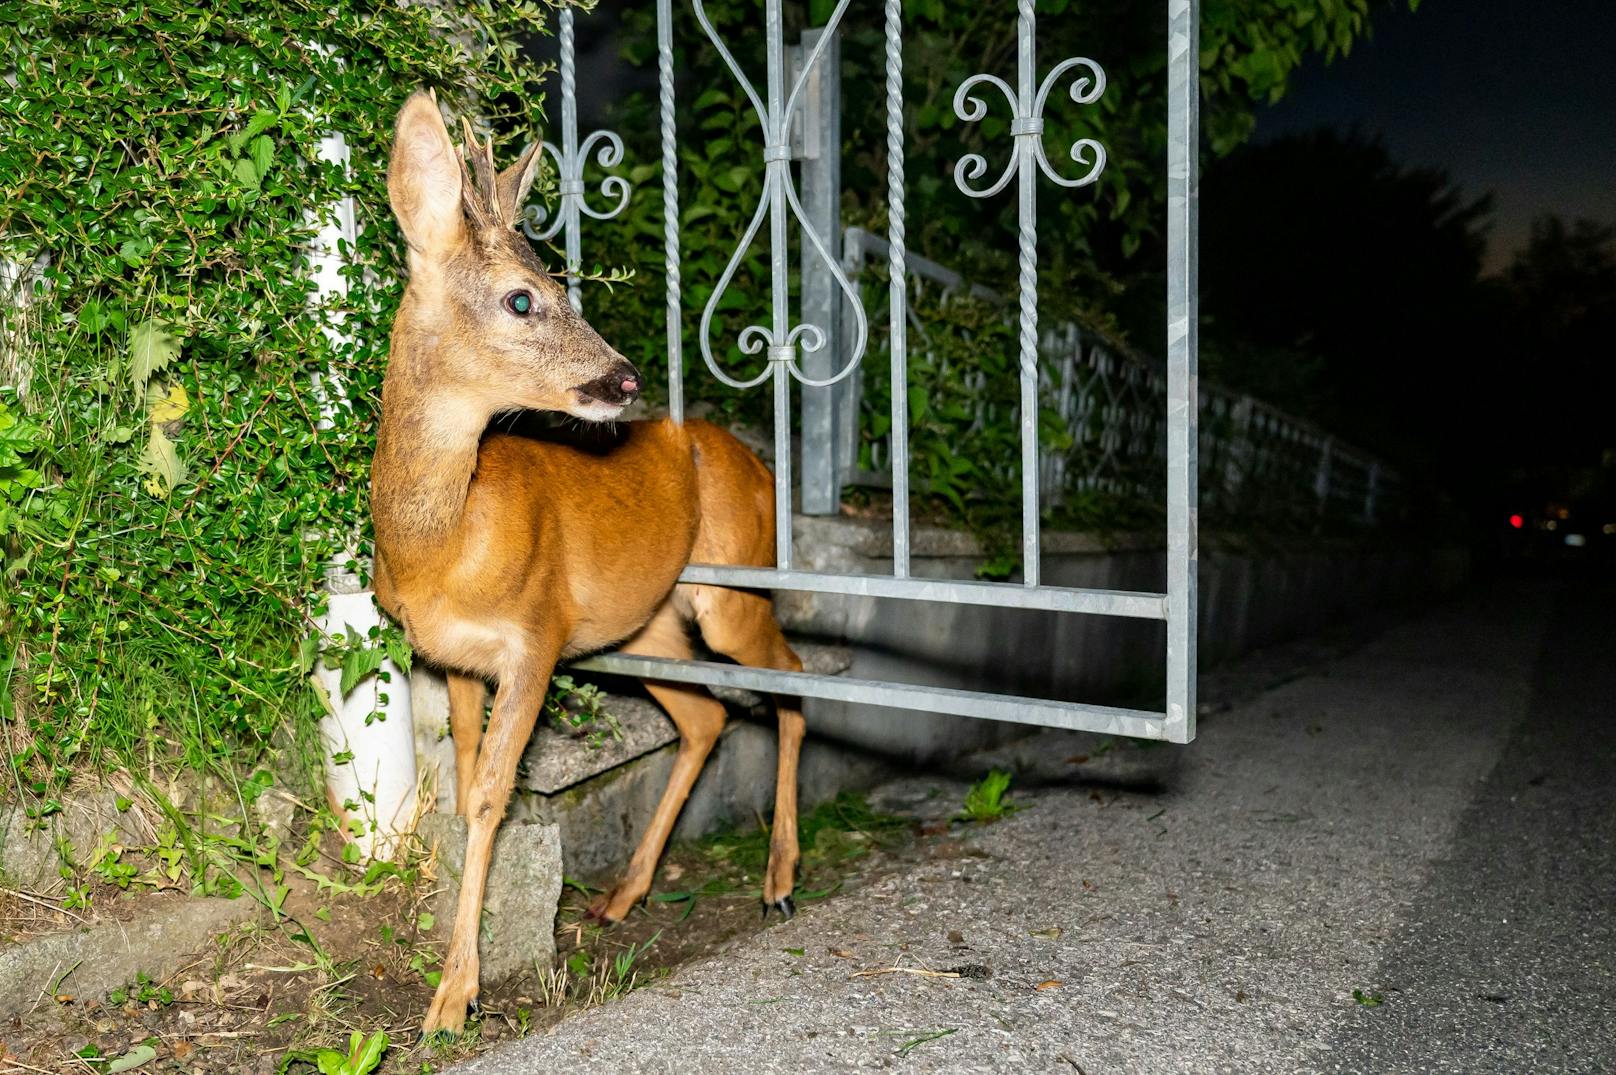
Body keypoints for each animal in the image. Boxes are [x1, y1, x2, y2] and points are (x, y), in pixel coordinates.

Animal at [374, 94, 808, 1034]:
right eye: (523, 297)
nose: (626, 376)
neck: (443, 546)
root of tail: (761, 465)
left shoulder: (535, 634)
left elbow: (492, 795)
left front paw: (453, 996)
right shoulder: (454, 657)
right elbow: (466, 783)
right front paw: (463, 958)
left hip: (732, 588)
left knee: (792, 677)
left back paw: (779, 879)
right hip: (647, 624)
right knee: (706, 718)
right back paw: (622, 894)